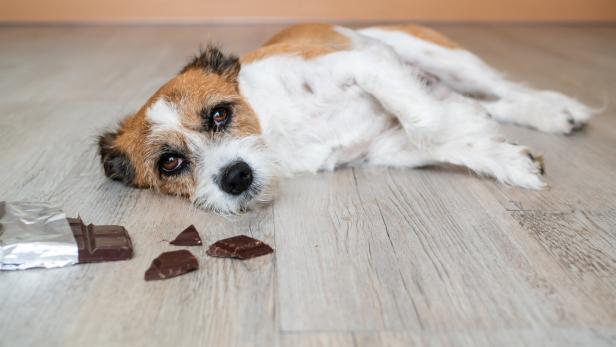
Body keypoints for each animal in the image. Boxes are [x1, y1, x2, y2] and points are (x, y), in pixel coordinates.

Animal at [98, 23, 596, 215]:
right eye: (170, 163)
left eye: (220, 114)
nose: (236, 177)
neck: (275, 128)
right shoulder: (384, 148)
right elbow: (438, 139)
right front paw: (505, 157)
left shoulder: (364, 63)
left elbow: (426, 121)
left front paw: (464, 126)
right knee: (493, 102)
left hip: (442, 56)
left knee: (504, 90)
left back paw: (556, 110)